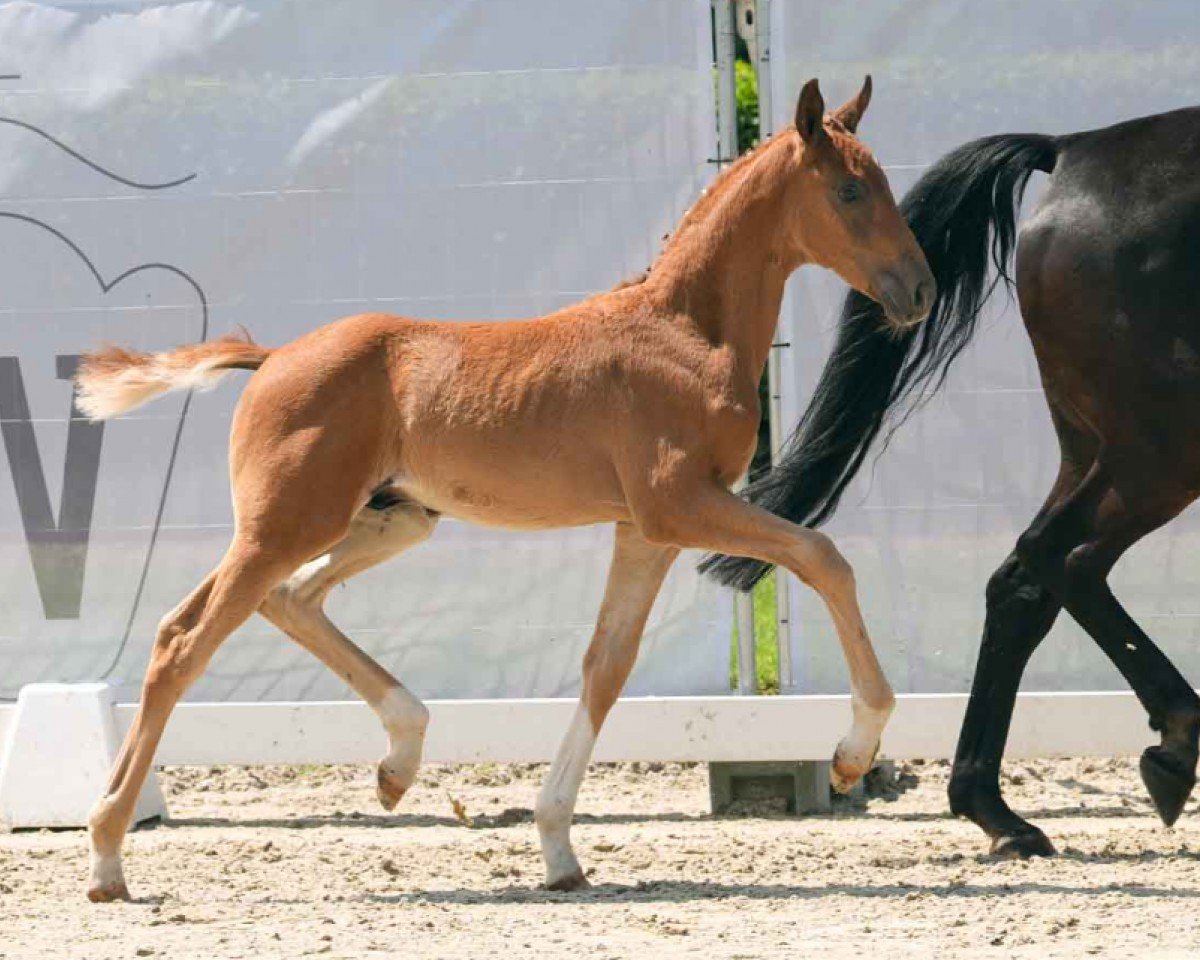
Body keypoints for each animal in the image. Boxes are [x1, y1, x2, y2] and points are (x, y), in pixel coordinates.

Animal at [72, 77, 934, 901]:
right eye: (850, 191)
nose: (921, 290)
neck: (687, 331)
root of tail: (275, 356)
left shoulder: (645, 530)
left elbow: (606, 667)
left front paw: (558, 849)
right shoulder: (678, 504)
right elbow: (823, 557)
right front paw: (853, 751)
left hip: (384, 522)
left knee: (279, 602)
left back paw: (398, 760)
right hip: (287, 525)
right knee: (186, 642)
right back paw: (108, 856)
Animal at [703, 105, 1200, 857]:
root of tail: (1075, 151)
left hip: (1099, 448)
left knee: (1025, 580)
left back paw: (996, 811)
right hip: (1160, 448)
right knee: (1061, 558)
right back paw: (1172, 747)